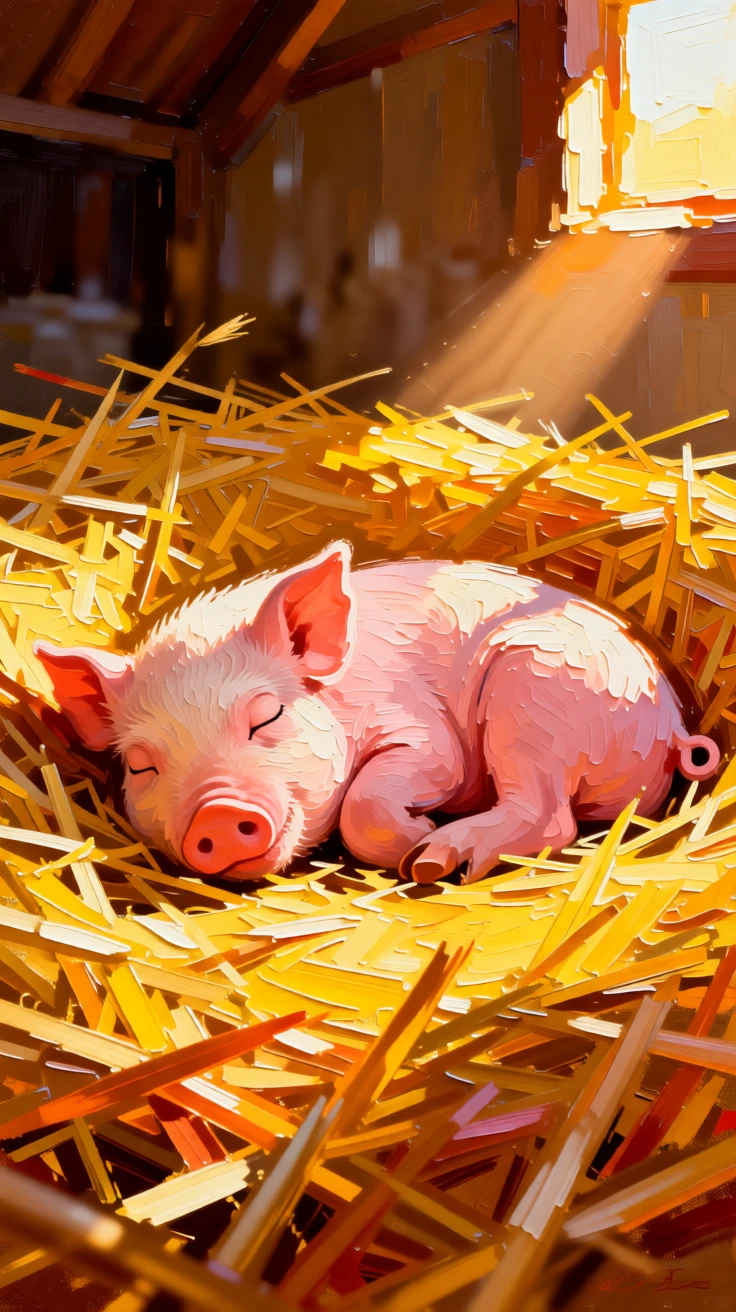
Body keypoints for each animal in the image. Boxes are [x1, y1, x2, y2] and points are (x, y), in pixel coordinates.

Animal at [33, 541, 719, 886]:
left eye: (267, 716)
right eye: (142, 766)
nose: (219, 813)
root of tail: (672, 724)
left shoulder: (424, 734)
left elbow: (375, 797)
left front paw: (415, 843)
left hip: (537, 692)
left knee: (551, 816)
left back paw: (440, 860)